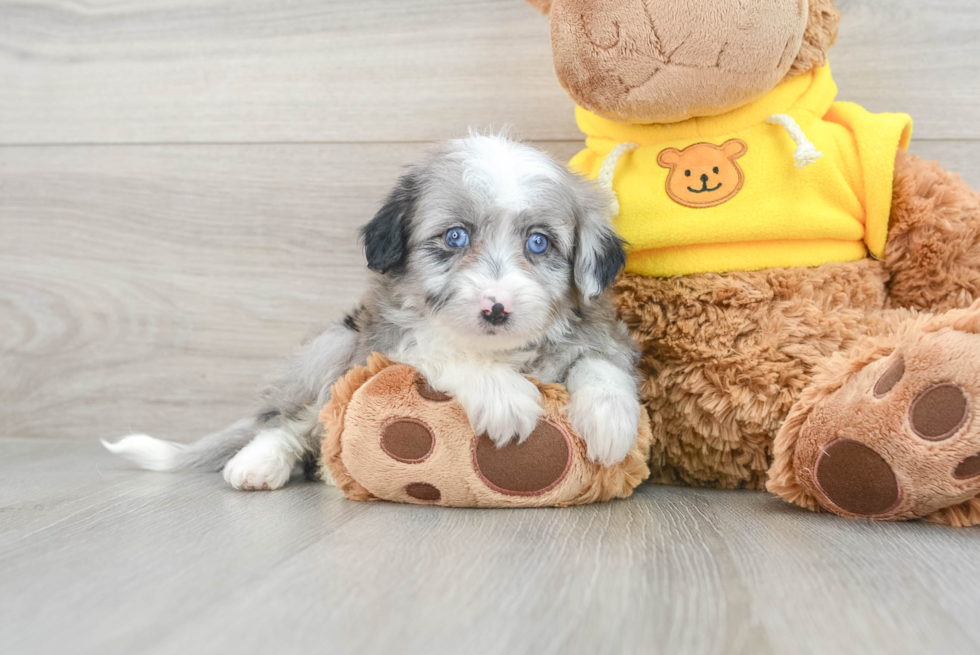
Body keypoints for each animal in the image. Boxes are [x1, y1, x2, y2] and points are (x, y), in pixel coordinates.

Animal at [105, 136, 644, 490]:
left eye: (539, 243)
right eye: (455, 237)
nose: (496, 309)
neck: (501, 350)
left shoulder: (603, 333)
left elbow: (600, 362)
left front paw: (611, 420)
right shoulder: (386, 341)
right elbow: (438, 348)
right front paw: (504, 395)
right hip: (334, 345)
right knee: (289, 418)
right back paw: (258, 464)